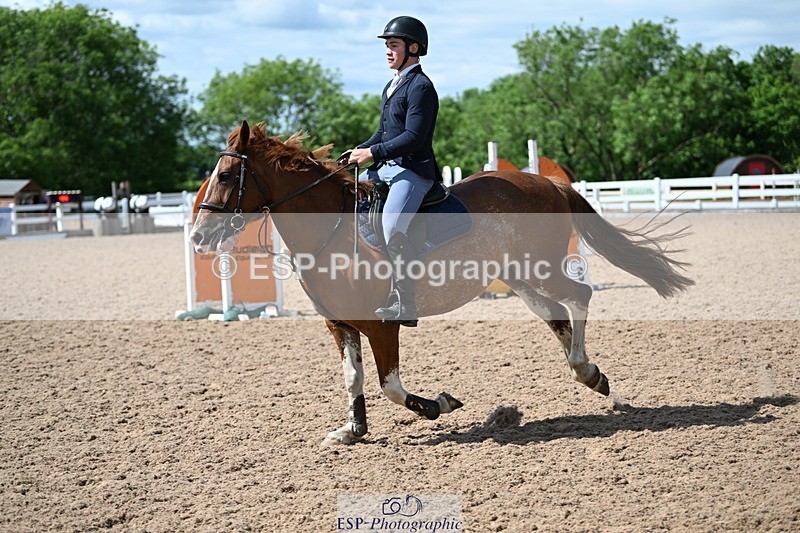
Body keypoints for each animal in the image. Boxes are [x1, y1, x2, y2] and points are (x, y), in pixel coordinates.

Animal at [190, 120, 694, 445]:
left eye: (227, 175)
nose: (197, 236)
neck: (331, 230)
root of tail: (548, 184)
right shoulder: (341, 326)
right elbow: (353, 378)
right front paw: (353, 431)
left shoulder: (381, 326)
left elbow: (390, 386)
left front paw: (439, 405)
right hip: (521, 278)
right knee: (558, 316)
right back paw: (595, 379)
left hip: (541, 268)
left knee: (581, 297)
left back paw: (586, 370)